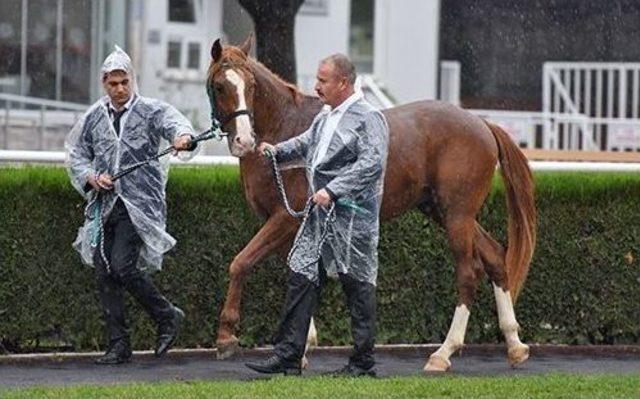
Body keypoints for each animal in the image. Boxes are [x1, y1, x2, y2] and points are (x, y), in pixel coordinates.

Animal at [209, 36, 536, 374]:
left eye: (249, 85)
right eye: (220, 86)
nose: (244, 141)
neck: (285, 127)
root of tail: (483, 124)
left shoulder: (284, 218)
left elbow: (241, 262)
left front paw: (227, 336)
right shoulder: (290, 225)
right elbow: (299, 272)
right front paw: (300, 347)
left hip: (458, 215)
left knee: (468, 274)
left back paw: (443, 353)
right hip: (446, 212)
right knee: (495, 257)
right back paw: (514, 345)